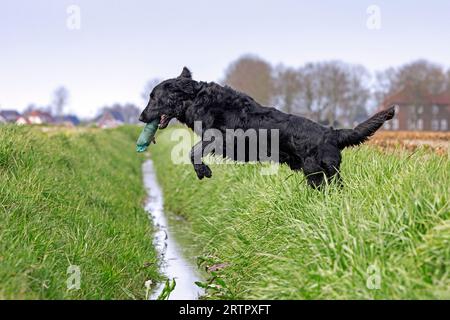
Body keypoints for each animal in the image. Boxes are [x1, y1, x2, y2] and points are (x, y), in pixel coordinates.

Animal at [140, 67, 394, 188]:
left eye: (153, 97)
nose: (141, 117)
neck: (198, 99)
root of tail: (331, 133)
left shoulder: (221, 138)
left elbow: (193, 152)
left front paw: (203, 171)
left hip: (318, 173)